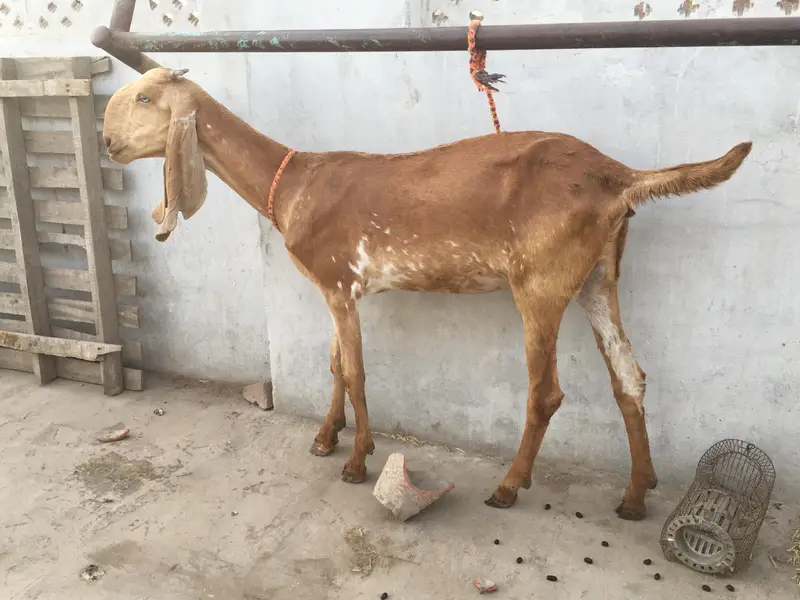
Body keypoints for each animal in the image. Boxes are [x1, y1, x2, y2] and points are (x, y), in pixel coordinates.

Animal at [103, 68, 751, 519]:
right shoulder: (340, 291)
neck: (292, 186)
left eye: (144, 98)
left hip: (540, 282)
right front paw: (325, 437)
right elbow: (335, 363)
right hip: (599, 276)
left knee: (545, 392)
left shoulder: (338, 283)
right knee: (629, 377)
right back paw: (637, 494)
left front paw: (358, 461)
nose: (107, 143)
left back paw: (509, 486)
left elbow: (355, 370)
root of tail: (619, 177)